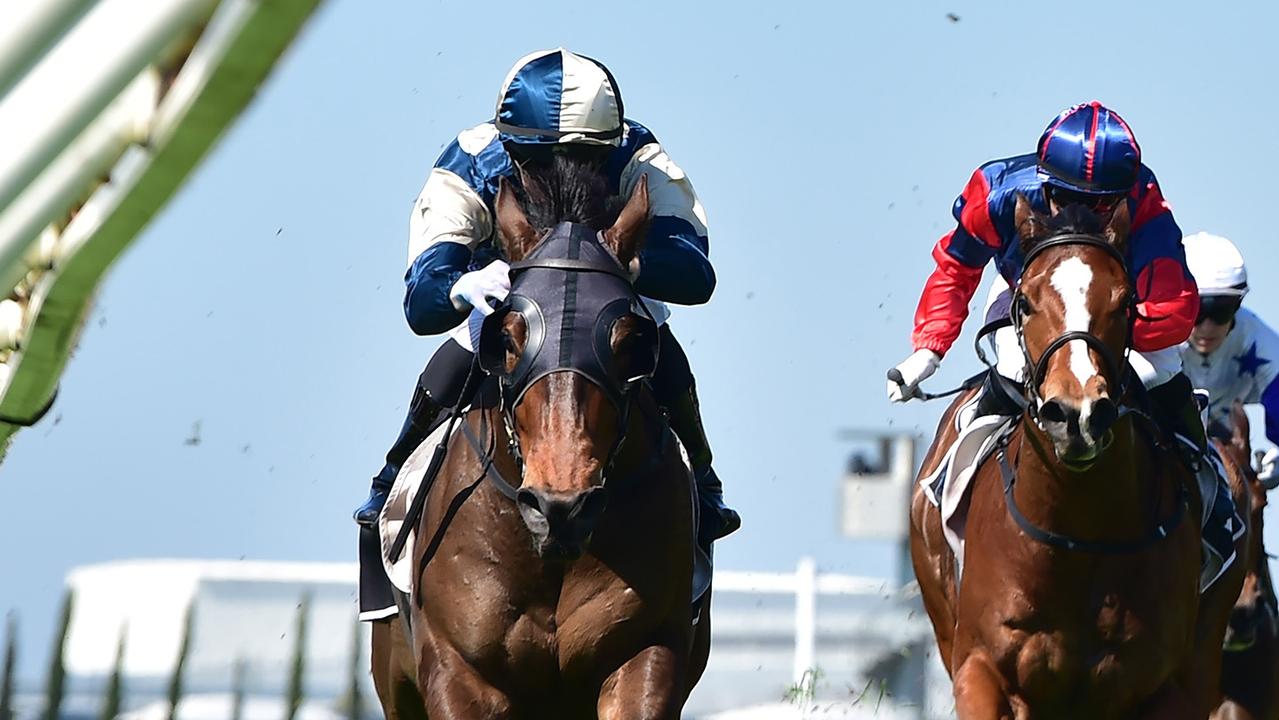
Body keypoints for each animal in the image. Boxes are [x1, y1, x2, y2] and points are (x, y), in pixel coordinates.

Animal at [910, 194, 1248, 716]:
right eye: (1025, 302)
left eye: (1126, 301)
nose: (1077, 413)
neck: (1078, 534)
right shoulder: (980, 667)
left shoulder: (1160, 688)